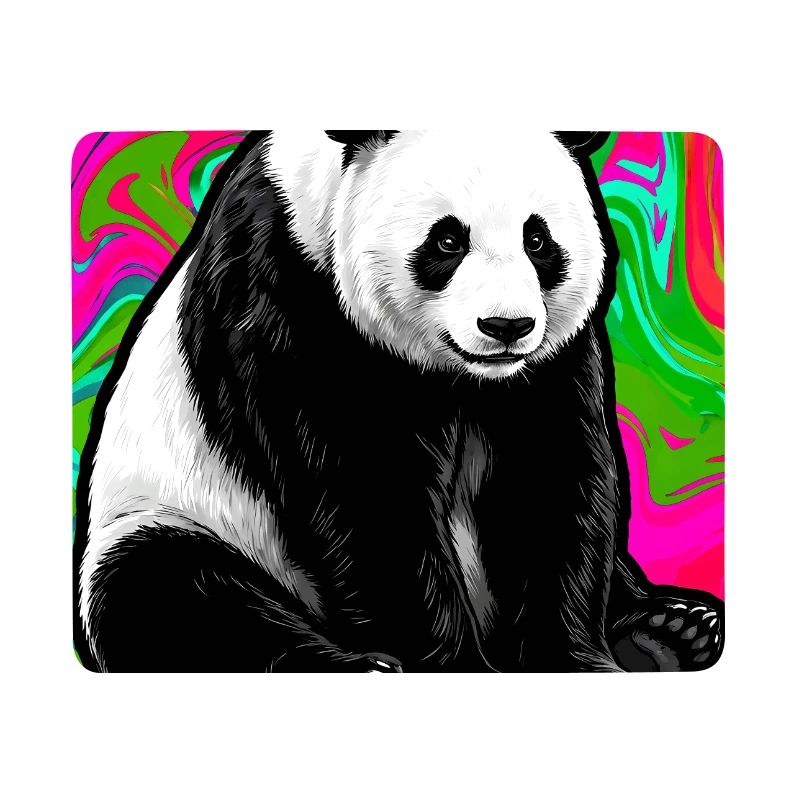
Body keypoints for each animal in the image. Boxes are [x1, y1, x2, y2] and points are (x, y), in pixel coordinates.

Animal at [74, 130, 724, 672]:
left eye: (538, 239)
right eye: (447, 239)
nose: (506, 326)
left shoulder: (548, 363)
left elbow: (548, 479)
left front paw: (569, 658)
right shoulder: (288, 289)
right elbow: (367, 487)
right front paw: (452, 666)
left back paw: (674, 630)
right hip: (173, 514)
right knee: (173, 594)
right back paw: (356, 667)